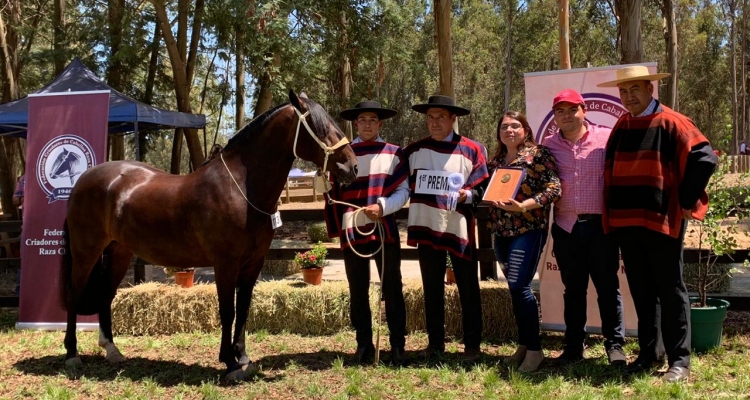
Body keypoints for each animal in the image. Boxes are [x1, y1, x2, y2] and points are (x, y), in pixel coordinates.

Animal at [58, 90, 358, 382]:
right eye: (319, 126)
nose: (352, 167)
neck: (240, 189)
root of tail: (83, 181)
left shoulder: (253, 264)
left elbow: (244, 308)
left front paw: (243, 357)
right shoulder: (225, 264)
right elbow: (228, 310)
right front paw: (229, 363)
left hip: (119, 252)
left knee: (106, 295)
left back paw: (112, 350)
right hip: (86, 252)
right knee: (74, 294)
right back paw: (72, 354)